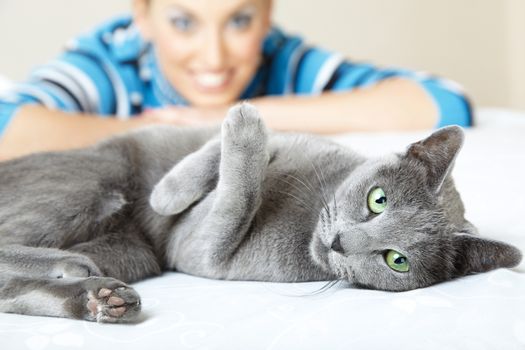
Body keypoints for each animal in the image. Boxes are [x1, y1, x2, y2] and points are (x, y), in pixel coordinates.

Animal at [0, 103, 520, 322]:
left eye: (397, 260)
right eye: (378, 200)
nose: (340, 243)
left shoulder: (205, 252)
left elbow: (238, 197)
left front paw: (243, 140)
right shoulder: (289, 142)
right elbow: (226, 151)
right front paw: (169, 192)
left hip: (128, 248)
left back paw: (92, 291)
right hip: (87, 186)